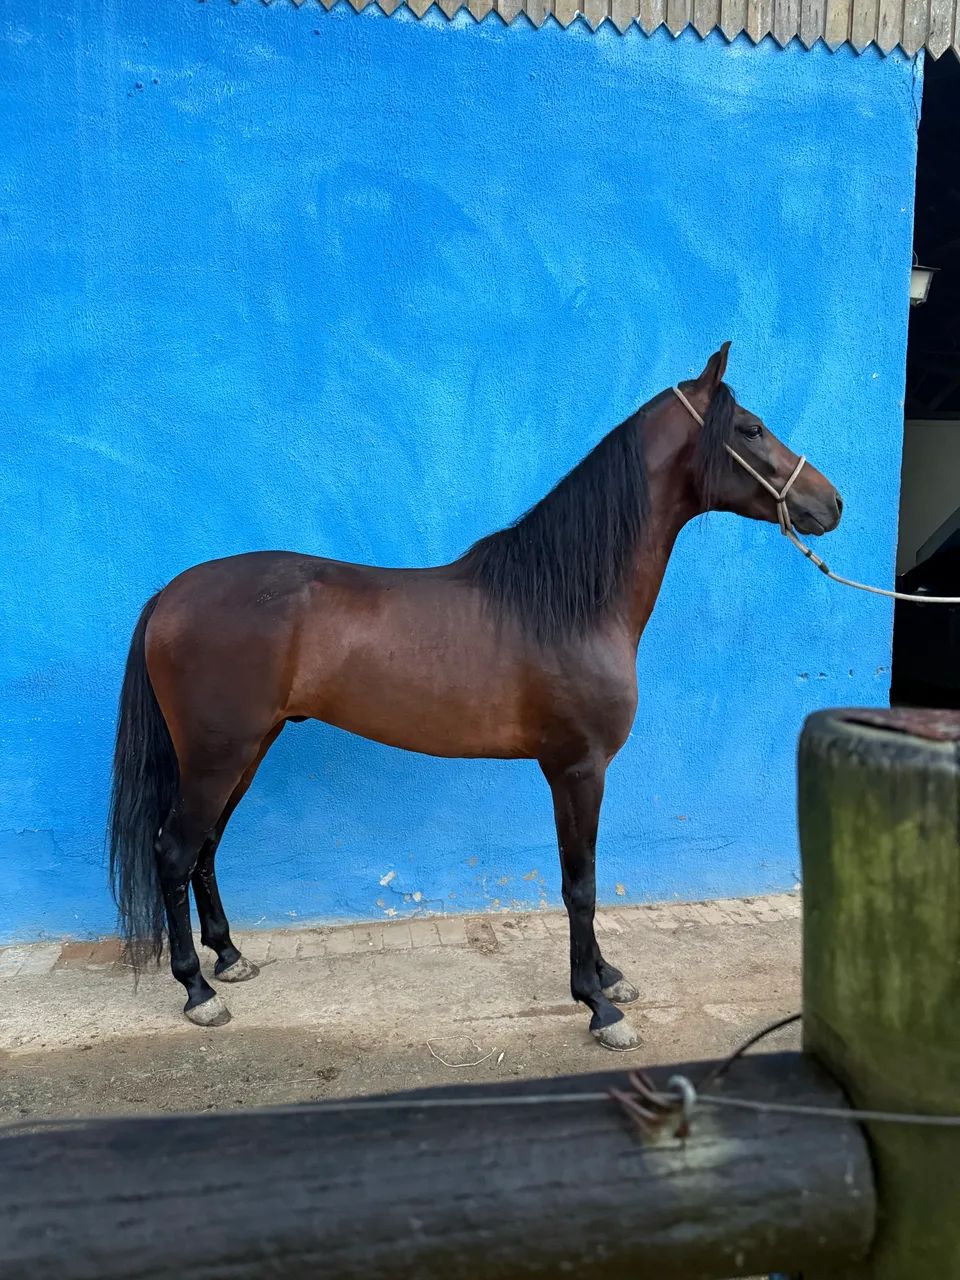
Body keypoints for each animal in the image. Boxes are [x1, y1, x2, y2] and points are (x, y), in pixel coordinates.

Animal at [108, 342, 842, 1050]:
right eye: (751, 428)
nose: (832, 503)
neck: (568, 603)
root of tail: (169, 595)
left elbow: (586, 878)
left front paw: (608, 976)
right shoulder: (577, 770)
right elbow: (581, 883)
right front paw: (598, 1004)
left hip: (248, 750)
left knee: (205, 850)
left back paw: (230, 957)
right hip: (217, 757)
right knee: (174, 852)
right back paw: (198, 990)